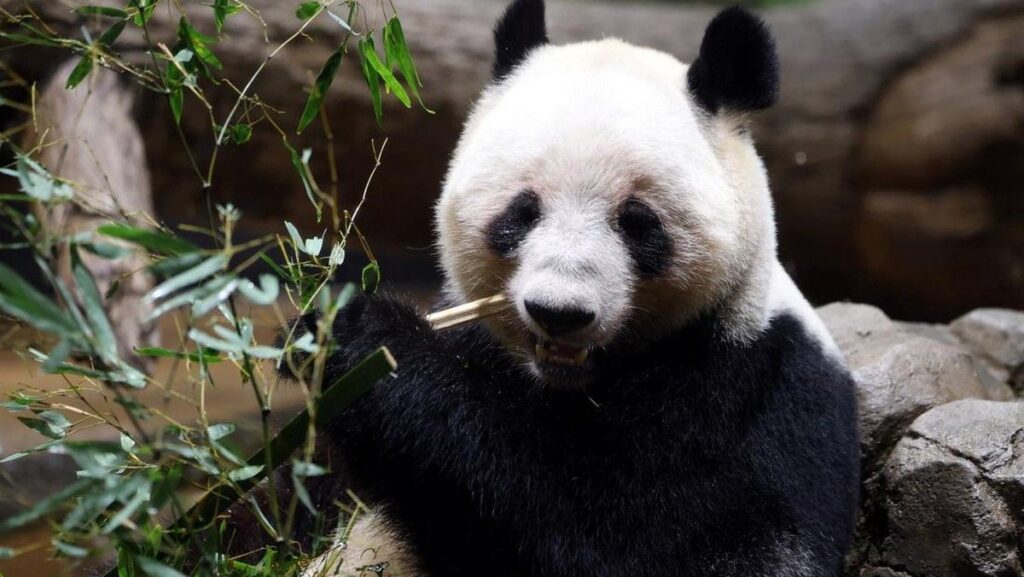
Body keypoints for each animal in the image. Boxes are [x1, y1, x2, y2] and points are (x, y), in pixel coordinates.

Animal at [274, 1, 861, 576]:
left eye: (638, 223)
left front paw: (370, 342)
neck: (565, 381)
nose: (559, 312)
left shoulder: (737, 395)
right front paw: (315, 333)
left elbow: (591, 529)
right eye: (521, 212)